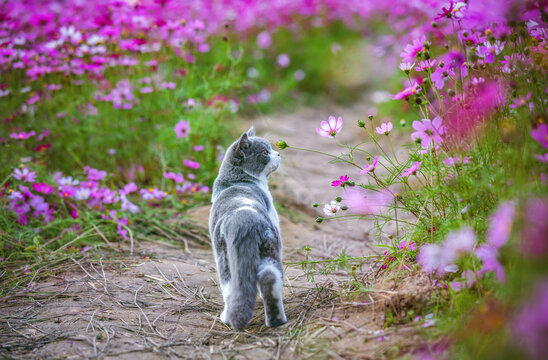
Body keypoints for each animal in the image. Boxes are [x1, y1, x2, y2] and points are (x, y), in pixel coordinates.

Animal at [208, 126, 286, 330]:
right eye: (265, 152)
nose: (278, 154)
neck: (235, 181)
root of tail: (243, 220)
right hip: (269, 247)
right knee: (269, 278)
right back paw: (276, 320)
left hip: (225, 259)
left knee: (233, 287)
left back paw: (228, 318)